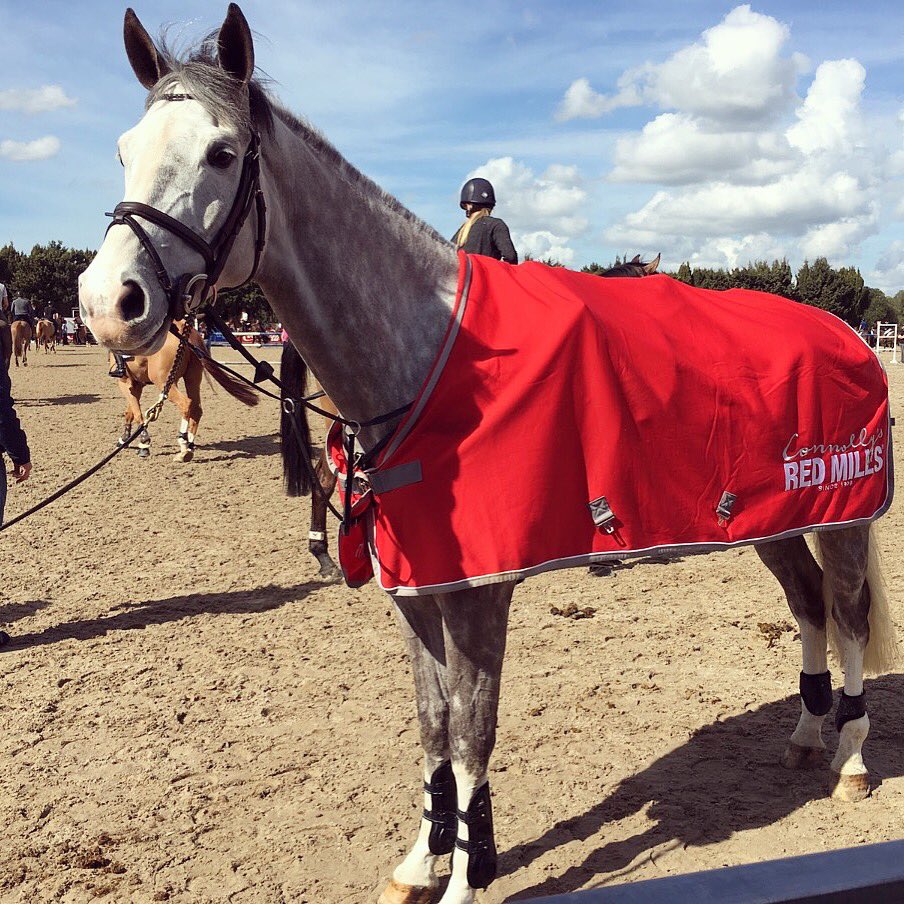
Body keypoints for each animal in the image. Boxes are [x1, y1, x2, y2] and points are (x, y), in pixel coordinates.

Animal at [112, 321, 259, 461]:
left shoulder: (125, 383)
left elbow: (137, 414)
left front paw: (143, 444)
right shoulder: (137, 384)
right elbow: (130, 412)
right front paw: (124, 438)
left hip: (164, 382)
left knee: (185, 404)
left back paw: (183, 442)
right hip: (192, 378)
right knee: (196, 409)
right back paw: (190, 445)